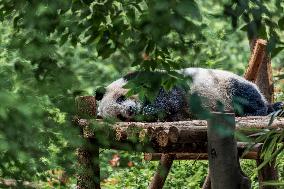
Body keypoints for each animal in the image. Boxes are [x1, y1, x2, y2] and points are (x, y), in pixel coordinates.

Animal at [96, 68, 282, 121]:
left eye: (120, 98)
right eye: (120, 116)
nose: (130, 110)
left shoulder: (154, 79)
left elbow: (169, 96)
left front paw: (151, 109)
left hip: (226, 84)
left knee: (246, 96)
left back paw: (259, 110)